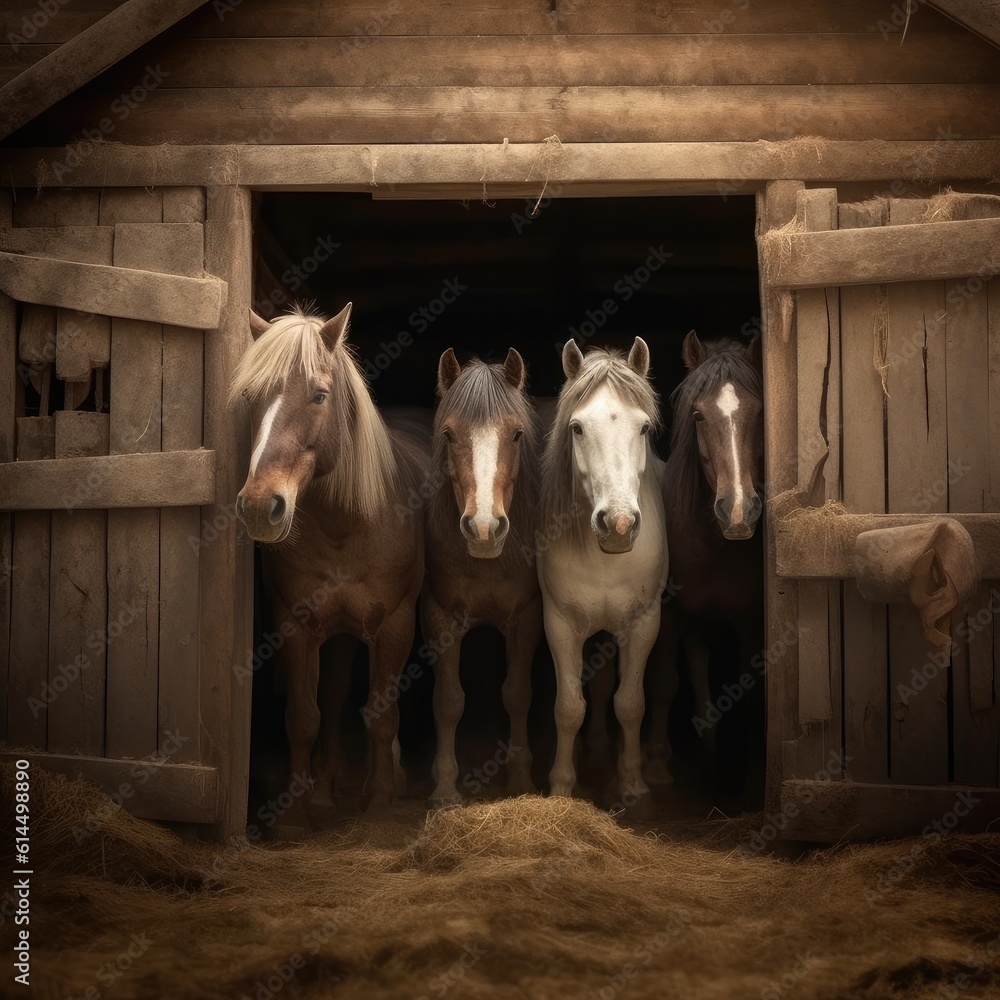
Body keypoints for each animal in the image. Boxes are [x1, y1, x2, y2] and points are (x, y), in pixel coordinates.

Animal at [230, 304, 430, 828]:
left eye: (319, 395)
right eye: (251, 397)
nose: (259, 506)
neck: (345, 528)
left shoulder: (396, 624)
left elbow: (382, 714)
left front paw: (379, 802)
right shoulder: (295, 624)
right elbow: (304, 715)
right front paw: (297, 811)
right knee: (336, 696)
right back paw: (325, 788)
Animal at [424, 348, 548, 808]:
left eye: (515, 435)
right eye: (448, 434)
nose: (483, 527)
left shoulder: (527, 616)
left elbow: (517, 694)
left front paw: (520, 779)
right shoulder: (439, 616)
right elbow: (447, 701)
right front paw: (444, 788)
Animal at [536, 340, 668, 816]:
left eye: (643, 428)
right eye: (577, 428)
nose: (618, 524)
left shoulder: (644, 622)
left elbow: (630, 703)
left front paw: (632, 785)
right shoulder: (559, 623)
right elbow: (568, 707)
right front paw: (561, 786)